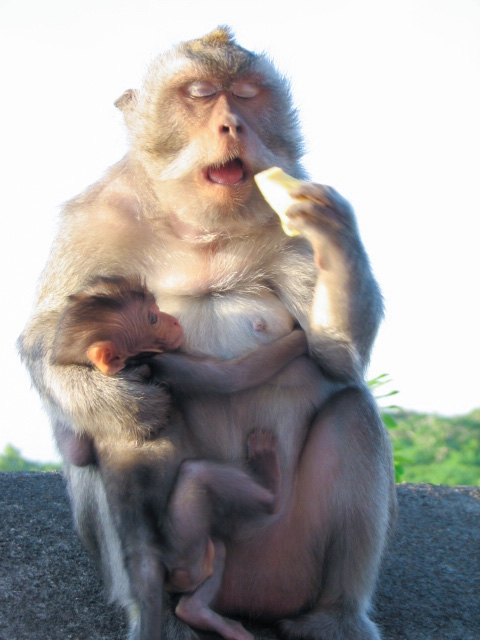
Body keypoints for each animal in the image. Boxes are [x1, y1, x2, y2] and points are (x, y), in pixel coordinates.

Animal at [18, 27, 396, 640]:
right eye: (198, 94)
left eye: (245, 94)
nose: (232, 126)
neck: (202, 227)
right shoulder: (95, 217)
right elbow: (43, 341)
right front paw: (123, 401)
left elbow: (336, 358)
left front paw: (332, 228)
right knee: (92, 441)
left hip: (283, 557)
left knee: (352, 411)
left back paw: (332, 616)